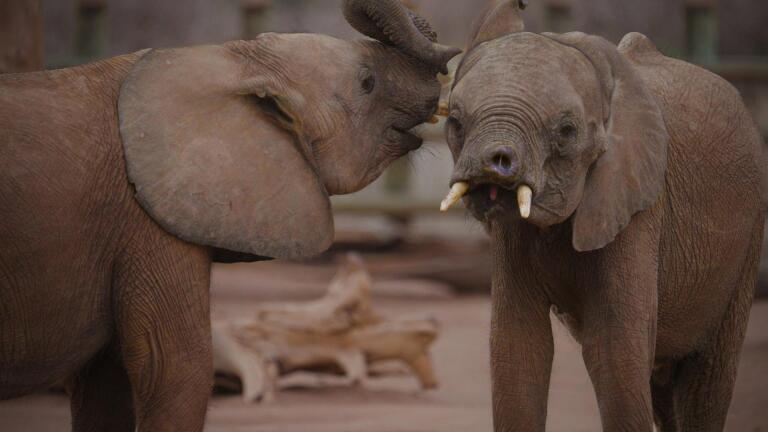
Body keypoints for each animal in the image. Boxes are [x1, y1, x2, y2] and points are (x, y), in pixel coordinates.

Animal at [0, 1, 460, 430]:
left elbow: (105, 387)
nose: (455, 52)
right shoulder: (145, 222)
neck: (233, 60)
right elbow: (176, 367)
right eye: (367, 83)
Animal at [440, 1, 766, 431]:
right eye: (454, 121)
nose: (492, 163)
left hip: (750, 232)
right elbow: (518, 348)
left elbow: (614, 352)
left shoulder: (639, 205)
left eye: (566, 130)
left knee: (707, 378)